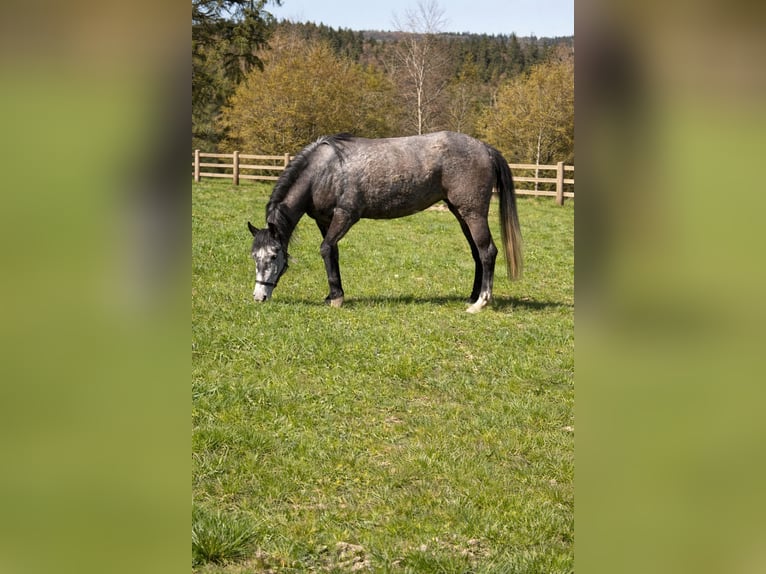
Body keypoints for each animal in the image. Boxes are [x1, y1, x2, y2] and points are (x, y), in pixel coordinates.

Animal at [247, 131, 523, 313]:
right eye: (254, 256)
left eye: (274, 256)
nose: (259, 296)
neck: (324, 170)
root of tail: (485, 148)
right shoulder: (325, 221)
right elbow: (331, 253)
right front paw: (334, 294)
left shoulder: (345, 216)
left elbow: (325, 249)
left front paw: (336, 298)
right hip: (460, 213)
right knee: (477, 253)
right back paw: (472, 297)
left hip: (473, 213)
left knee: (487, 252)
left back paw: (480, 303)